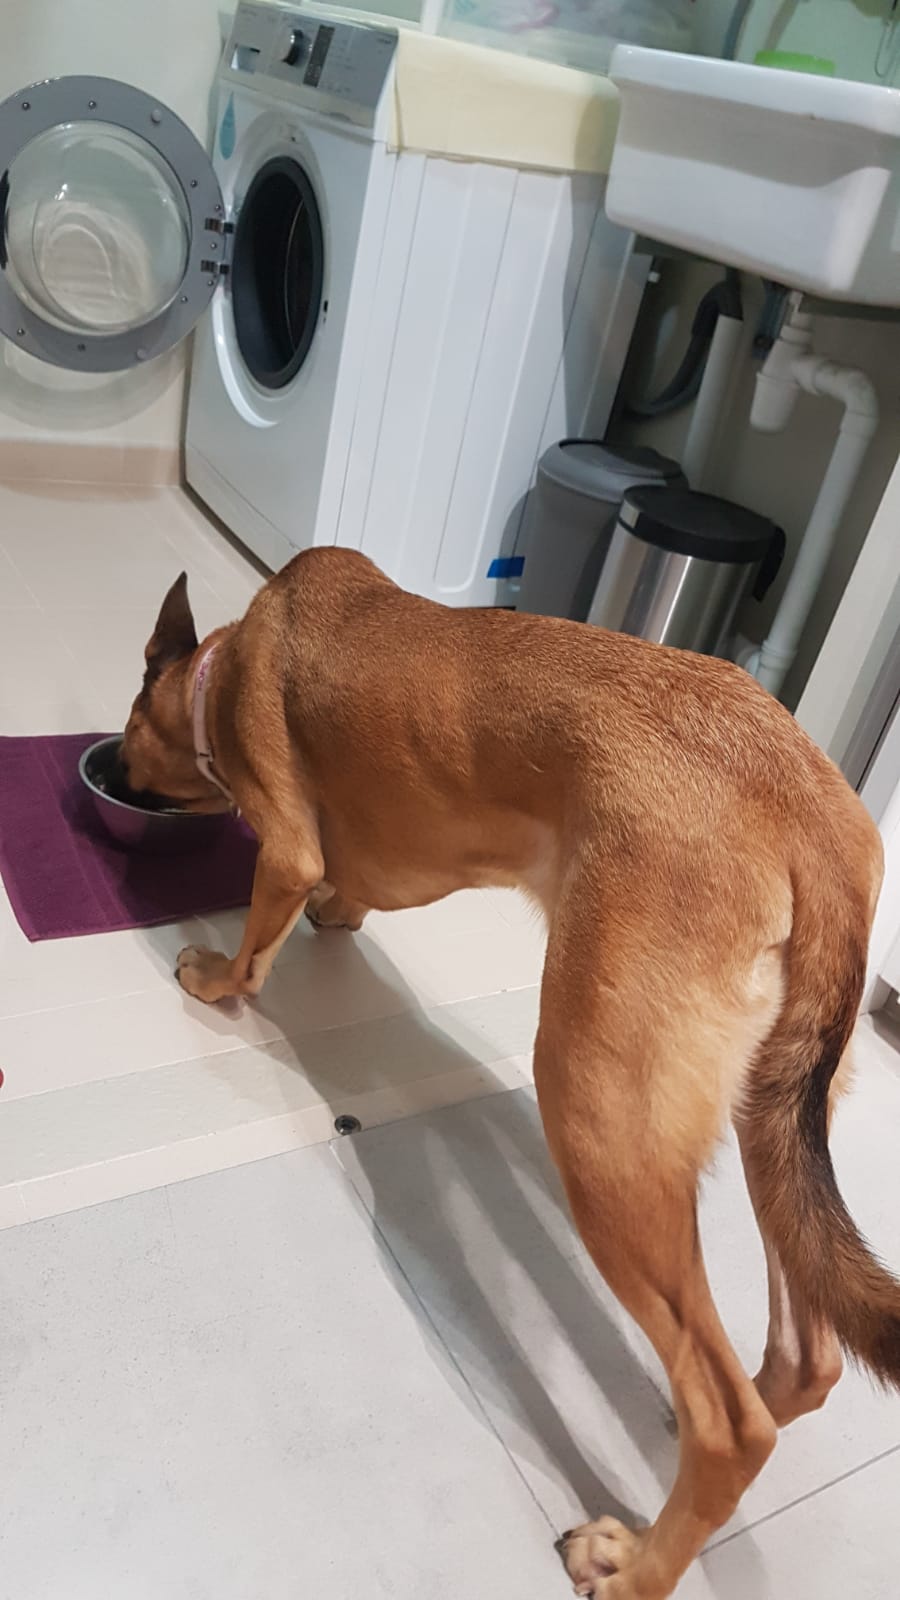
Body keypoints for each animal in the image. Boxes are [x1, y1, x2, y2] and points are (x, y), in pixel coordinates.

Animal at [123, 547, 897, 1599]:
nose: (115, 769)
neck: (227, 664)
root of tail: (818, 821)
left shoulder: (283, 844)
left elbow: (258, 936)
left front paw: (215, 978)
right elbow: (353, 888)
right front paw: (338, 913)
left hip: (598, 1120)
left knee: (732, 1427)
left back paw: (634, 1560)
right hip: (770, 1121)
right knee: (802, 1357)